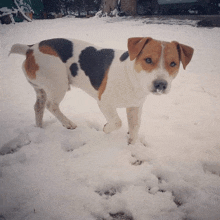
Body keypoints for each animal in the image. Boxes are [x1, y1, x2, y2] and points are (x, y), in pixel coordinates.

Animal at [9, 37, 193, 144]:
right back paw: (68, 123)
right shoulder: (104, 102)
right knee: (51, 105)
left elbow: (135, 127)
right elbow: (117, 122)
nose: (161, 84)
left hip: (41, 88)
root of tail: (30, 48)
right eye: (148, 60)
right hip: (58, 83)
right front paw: (105, 128)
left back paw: (39, 128)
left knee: (38, 107)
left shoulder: (135, 106)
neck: (131, 76)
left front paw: (132, 147)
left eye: (173, 64)